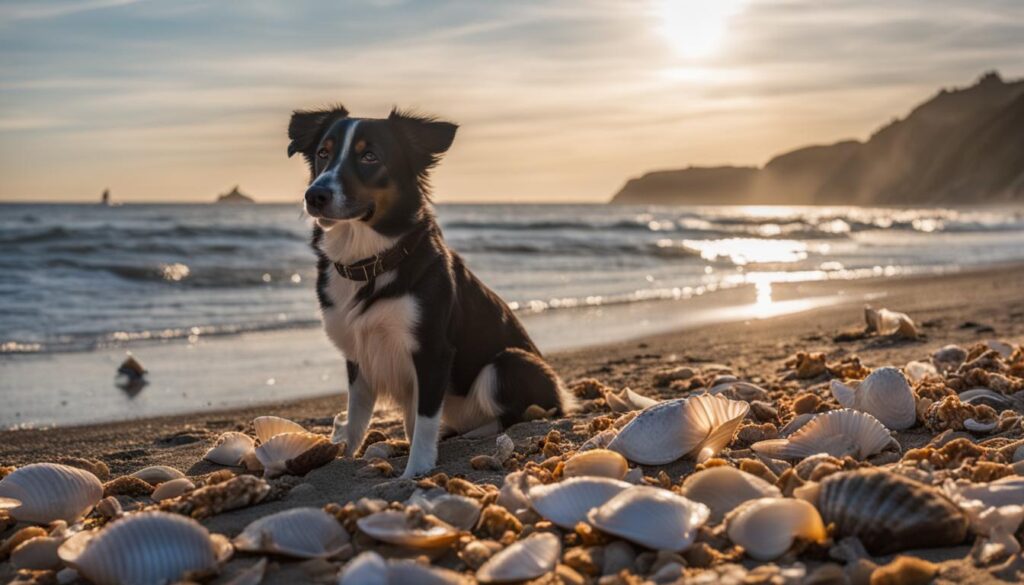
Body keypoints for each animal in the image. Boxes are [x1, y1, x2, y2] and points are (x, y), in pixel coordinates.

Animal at [288, 105, 577, 477]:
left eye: (369, 156)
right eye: (323, 153)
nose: (315, 195)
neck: (371, 262)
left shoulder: (432, 351)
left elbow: (424, 420)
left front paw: (416, 469)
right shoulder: (359, 353)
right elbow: (357, 415)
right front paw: (343, 457)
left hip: (507, 364)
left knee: (515, 415)